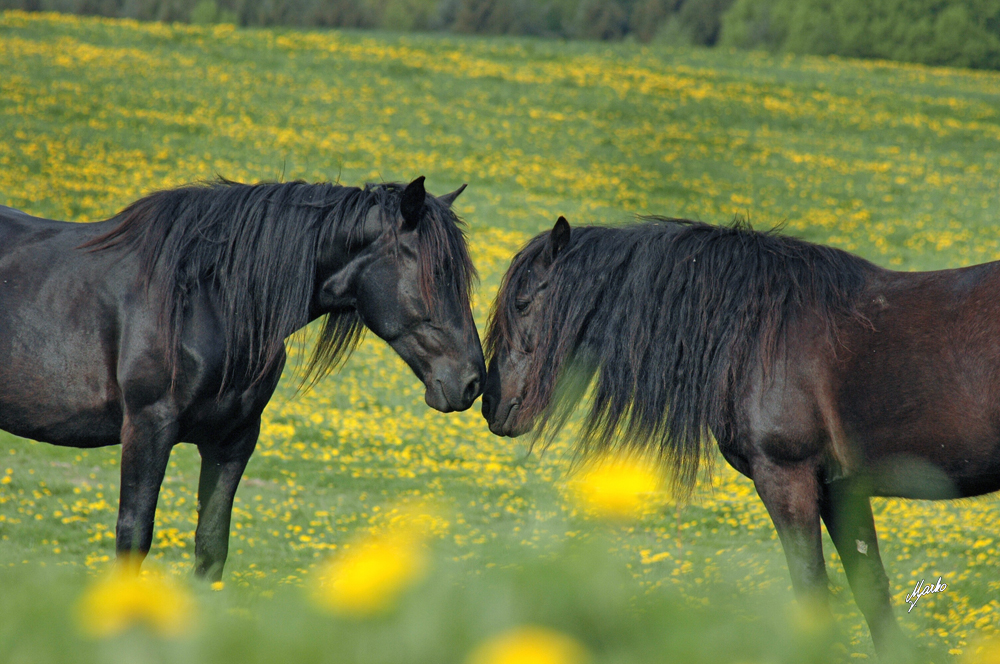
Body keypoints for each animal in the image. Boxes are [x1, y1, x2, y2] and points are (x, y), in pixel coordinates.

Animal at [0, 176, 484, 580]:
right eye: (437, 273)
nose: (472, 382)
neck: (209, 299)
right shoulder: (147, 429)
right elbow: (134, 536)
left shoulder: (233, 440)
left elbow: (212, 545)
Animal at [480, 218, 996, 660]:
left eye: (522, 303)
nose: (489, 401)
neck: (759, 332)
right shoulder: (841, 488)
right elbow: (871, 590)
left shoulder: (786, 477)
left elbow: (811, 591)